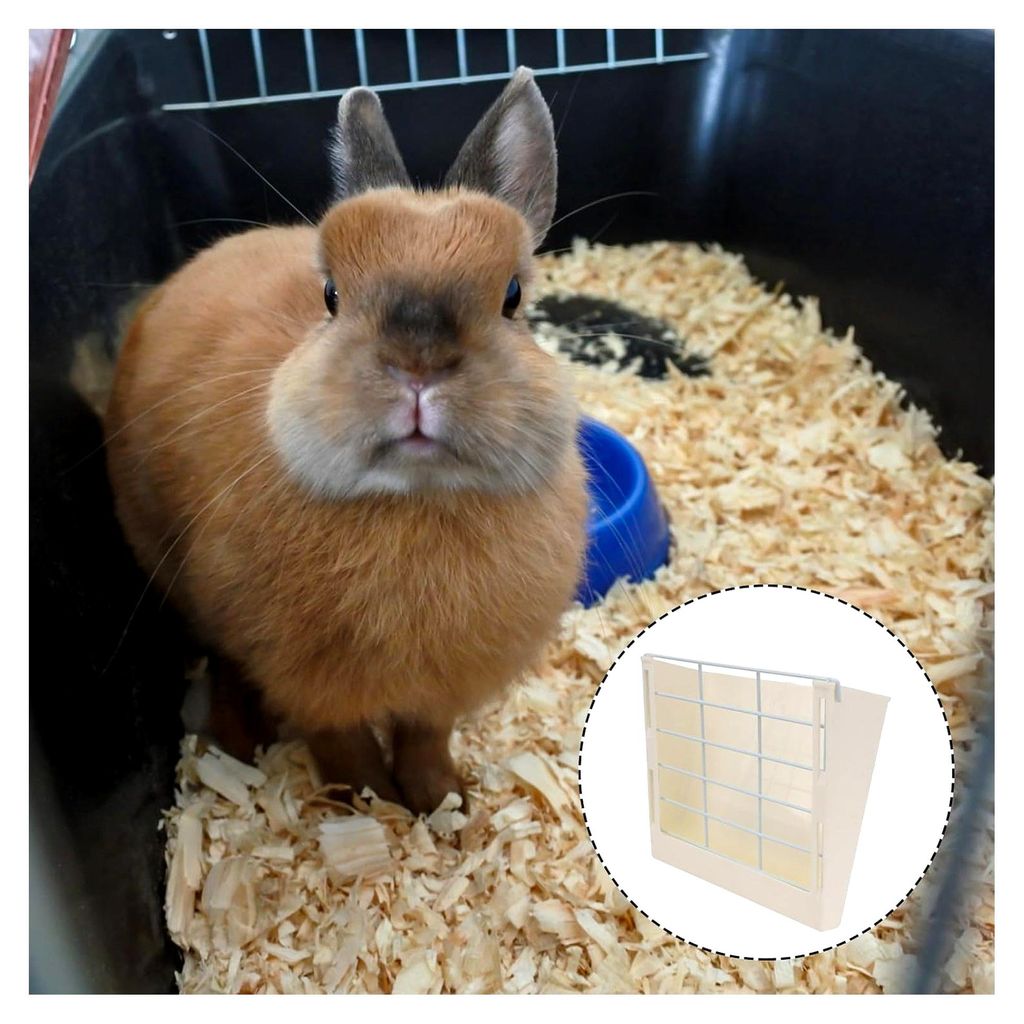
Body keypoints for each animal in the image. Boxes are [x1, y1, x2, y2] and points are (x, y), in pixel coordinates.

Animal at [104, 68, 590, 815]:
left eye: (512, 295)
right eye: (330, 294)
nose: (417, 365)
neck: (417, 502)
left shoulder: (439, 693)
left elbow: (425, 740)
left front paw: (445, 805)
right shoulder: (309, 685)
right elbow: (346, 749)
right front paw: (371, 808)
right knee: (223, 664)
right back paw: (239, 743)